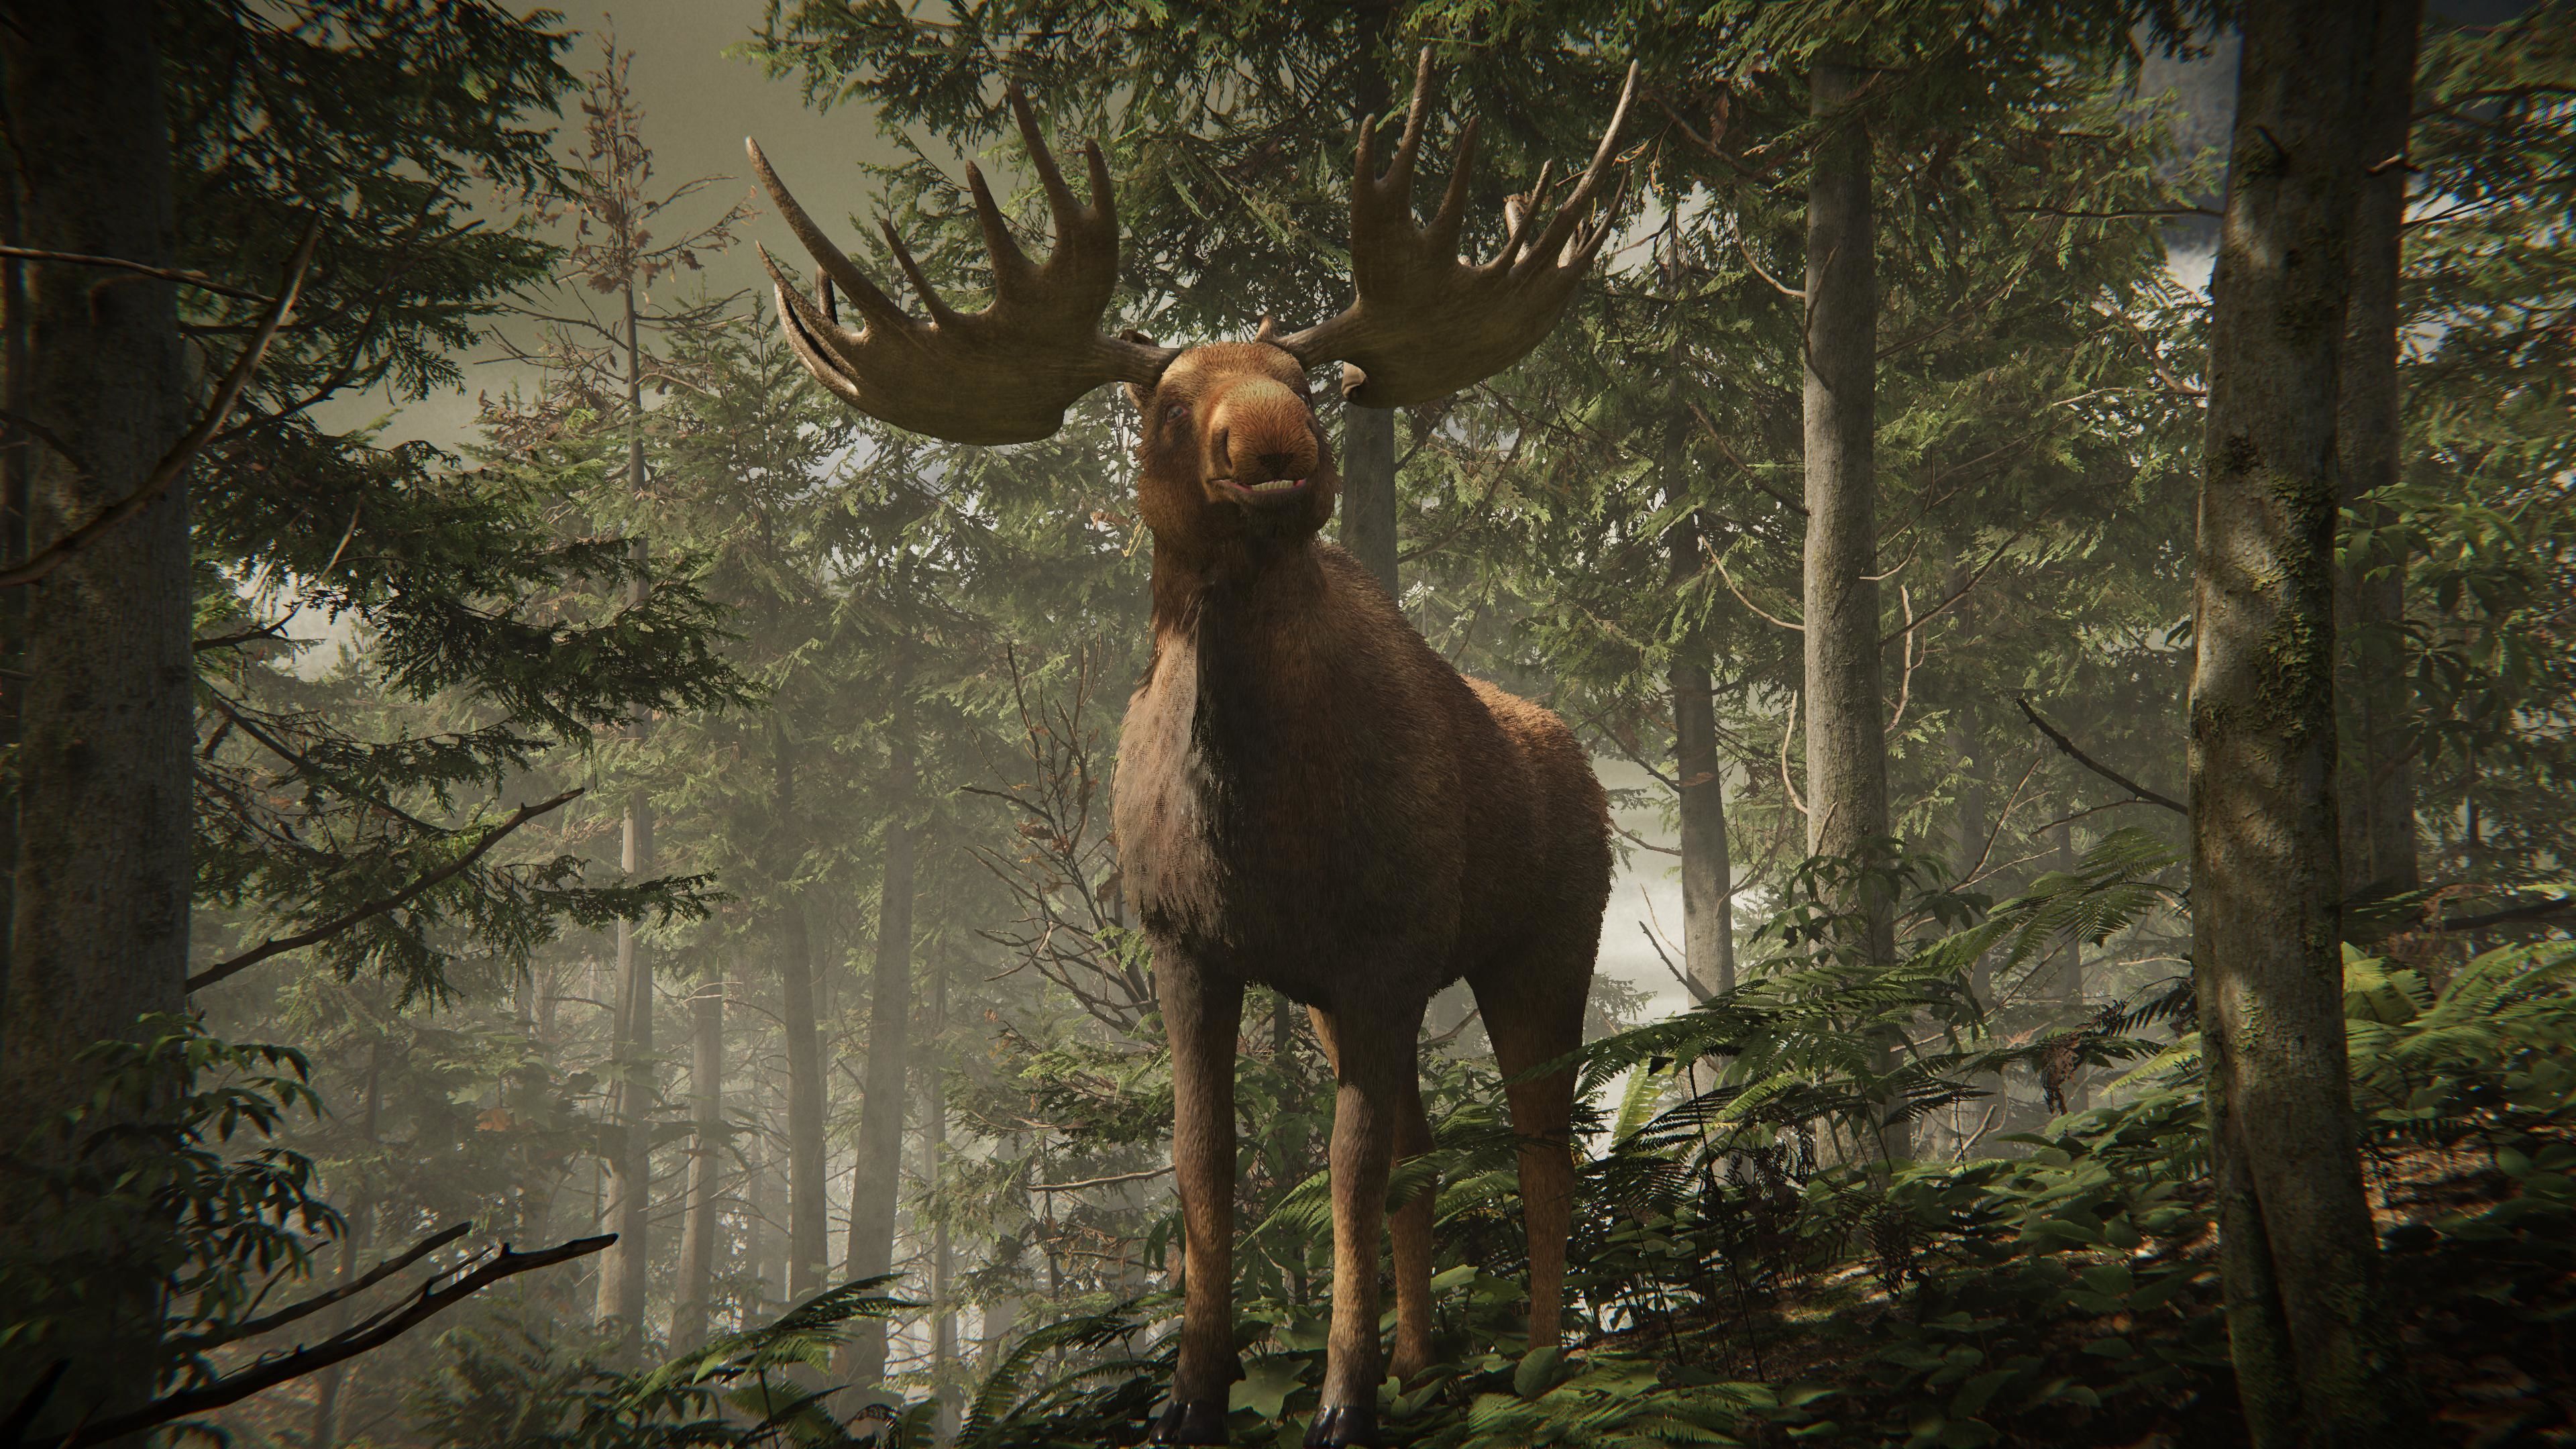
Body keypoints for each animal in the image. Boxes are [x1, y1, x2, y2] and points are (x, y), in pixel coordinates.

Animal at [748, 51, 1628, 1447]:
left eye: (1306, 379)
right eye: (1164, 405)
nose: (1274, 448)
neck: (1254, 835)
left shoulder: (1382, 950)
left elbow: (1344, 1169)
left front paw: (1340, 1401)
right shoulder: (1191, 950)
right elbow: (1207, 1162)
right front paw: (1198, 1393)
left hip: (1547, 936)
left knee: (1543, 1147)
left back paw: (1541, 1365)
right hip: (1365, 992)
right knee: (1431, 1149)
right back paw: (1427, 1365)